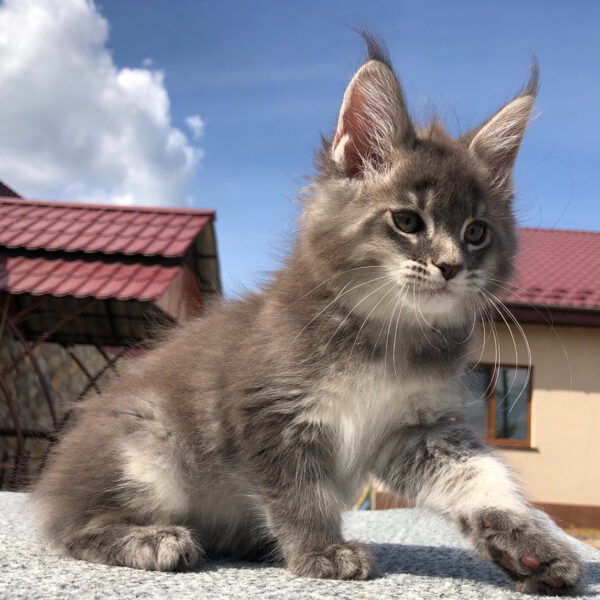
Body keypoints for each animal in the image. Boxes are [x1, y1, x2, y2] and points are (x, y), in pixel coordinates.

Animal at [31, 37, 580, 596]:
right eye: (407, 221)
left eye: (476, 232)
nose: (450, 266)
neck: (387, 336)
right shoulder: (272, 414)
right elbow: (300, 495)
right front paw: (321, 552)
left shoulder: (418, 431)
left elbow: (482, 477)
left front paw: (531, 543)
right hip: (146, 444)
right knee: (73, 528)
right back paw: (151, 538)